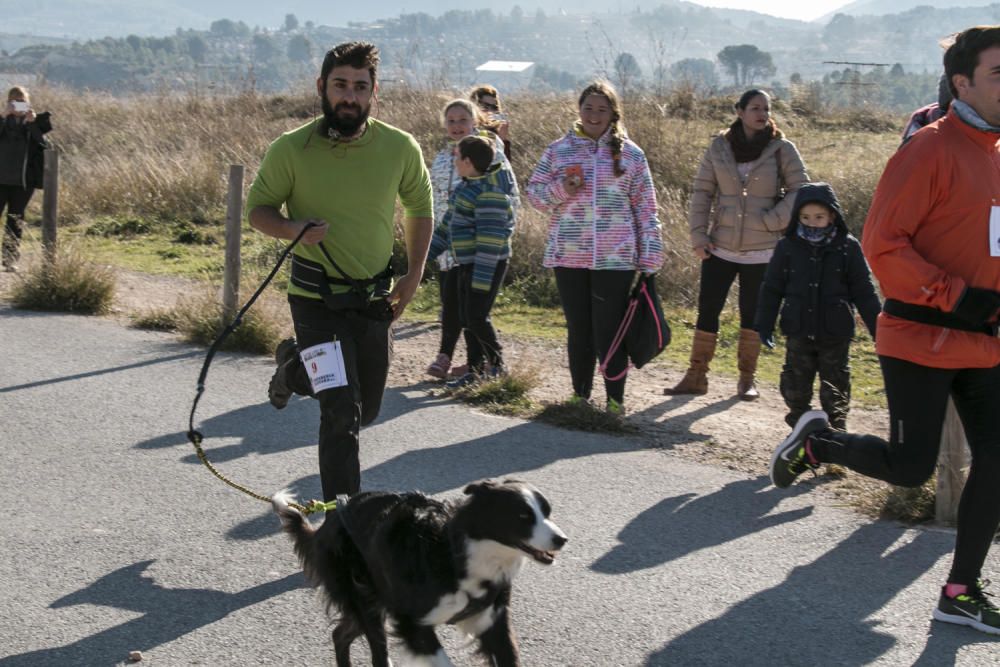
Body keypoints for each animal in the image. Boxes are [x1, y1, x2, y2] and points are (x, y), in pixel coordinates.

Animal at [272, 478, 572, 664]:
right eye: (523, 516)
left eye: (547, 512)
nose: (562, 539)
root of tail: (326, 523)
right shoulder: (410, 621)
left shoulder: (493, 620)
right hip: (365, 598)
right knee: (377, 653)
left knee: (340, 634)